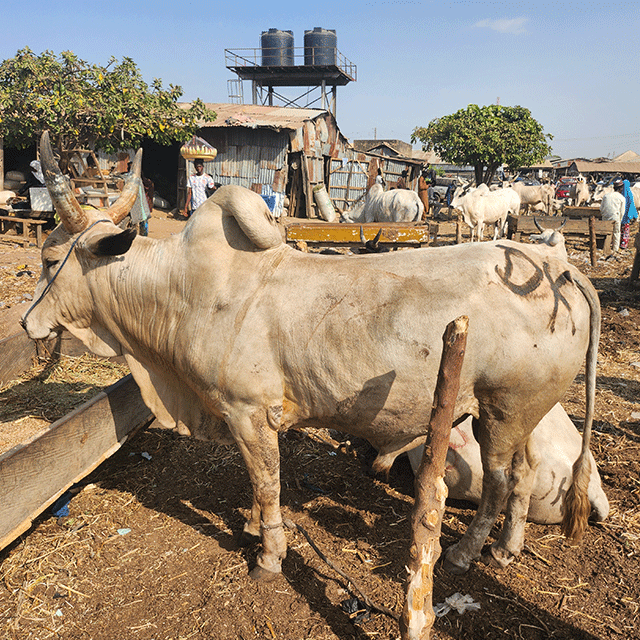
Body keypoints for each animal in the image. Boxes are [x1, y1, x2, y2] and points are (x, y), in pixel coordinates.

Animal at [23, 131, 600, 583]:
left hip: (501, 413)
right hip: (520, 415)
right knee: (523, 477)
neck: (181, 291)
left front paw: (268, 555)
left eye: (50, 258)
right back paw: (504, 549)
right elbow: (259, 486)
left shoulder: (249, 413)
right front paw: (253, 526)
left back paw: (463, 552)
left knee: (500, 483)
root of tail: (557, 265)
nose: (27, 323)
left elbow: (266, 482)